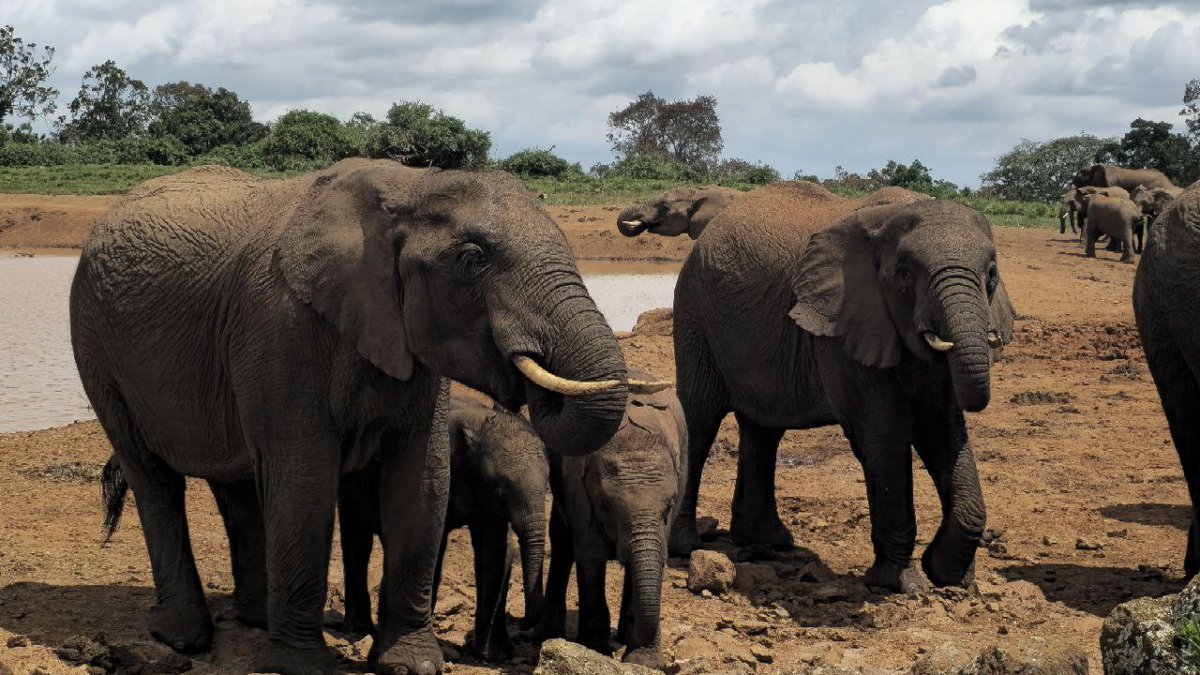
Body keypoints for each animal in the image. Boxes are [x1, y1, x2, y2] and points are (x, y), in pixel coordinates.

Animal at [338, 394, 549, 662]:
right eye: (501, 490)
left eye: (549, 485)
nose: (523, 623)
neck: (479, 424)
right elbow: (433, 547)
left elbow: (495, 551)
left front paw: (494, 655)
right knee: (357, 539)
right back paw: (359, 630)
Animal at [536, 374, 686, 670]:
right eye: (606, 507)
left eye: (669, 507)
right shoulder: (577, 488)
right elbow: (590, 554)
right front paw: (595, 650)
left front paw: (642, 661)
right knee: (562, 541)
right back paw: (547, 633)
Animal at [655, 181, 1013, 593]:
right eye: (904, 274)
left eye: (991, 275)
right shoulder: (842, 326)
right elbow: (884, 434)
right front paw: (901, 583)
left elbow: (943, 430)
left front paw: (950, 575)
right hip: (694, 312)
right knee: (700, 419)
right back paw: (686, 547)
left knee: (763, 429)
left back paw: (767, 544)